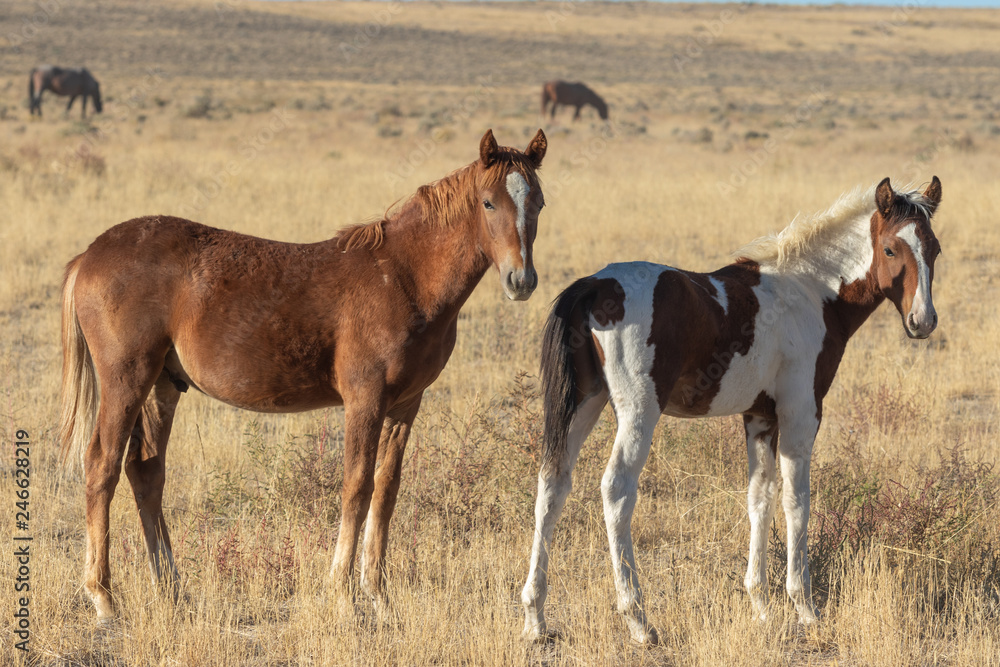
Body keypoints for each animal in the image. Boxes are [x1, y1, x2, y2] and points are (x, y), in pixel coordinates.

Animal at [60, 128, 547, 621]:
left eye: (539, 203)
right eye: (488, 202)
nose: (521, 281)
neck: (404, 277)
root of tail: (89, 255)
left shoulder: (406, 404)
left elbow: (386, 492)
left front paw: (379, 596)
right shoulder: (365, 399)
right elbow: (357, 487)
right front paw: (343, 596)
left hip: (164, 385)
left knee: (146, 472)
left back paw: (173, 589)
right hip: (126, 379)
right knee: (102, 464)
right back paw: (103, 597)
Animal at [521, 177, 943, 644]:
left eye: (934, 249)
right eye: (890, 249)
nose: (923, 322)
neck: (812, 292)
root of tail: (594, 287)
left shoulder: (759, 417)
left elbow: (761, 497)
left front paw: (761, 606)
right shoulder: (801, 412)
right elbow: (797, 501)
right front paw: (805, 608)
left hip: (584, 405)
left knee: (553, 485)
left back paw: (535, 617)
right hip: (637, 414)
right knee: (616, 490)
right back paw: (637, 619)